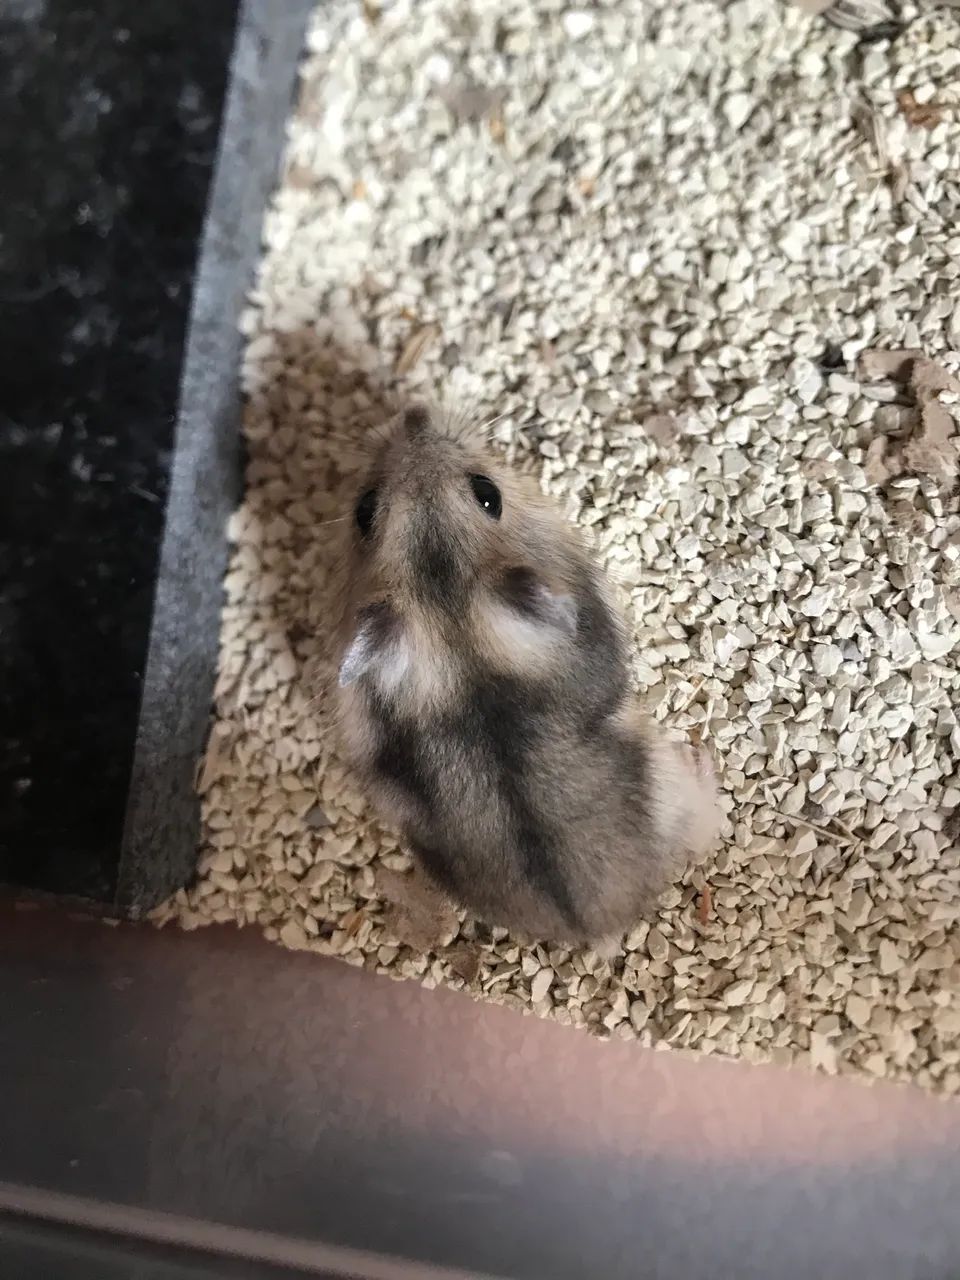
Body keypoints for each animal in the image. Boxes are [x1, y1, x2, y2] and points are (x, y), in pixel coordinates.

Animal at [333, 404, 719, 947]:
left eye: (363, 510)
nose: (414, 412)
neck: (458, 639)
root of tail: (596, 931)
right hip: (674, 789)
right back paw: (704, 760)